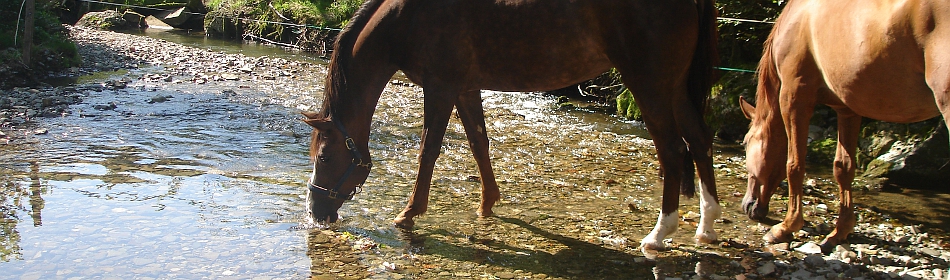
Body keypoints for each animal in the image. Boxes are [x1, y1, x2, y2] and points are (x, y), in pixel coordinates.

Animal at [304, 0, 720, 249]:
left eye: (324, 158)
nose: (315, 212)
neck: (410, 17)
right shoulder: (466, 88)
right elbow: (478, 143)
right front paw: (488, 203)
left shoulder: (440, 87)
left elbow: (429, 151)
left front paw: (409, 213)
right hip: (675, 87)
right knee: (700, 141)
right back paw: (707, 226)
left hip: (649, 85)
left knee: (673, 150)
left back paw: (659, 234)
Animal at [744, 0, 950, 254]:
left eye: (746, 143)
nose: (748, 205)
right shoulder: (847, 110)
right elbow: (843, 168)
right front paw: (839, 232)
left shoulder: (794, 96)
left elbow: (794, 165)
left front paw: (786, 227)